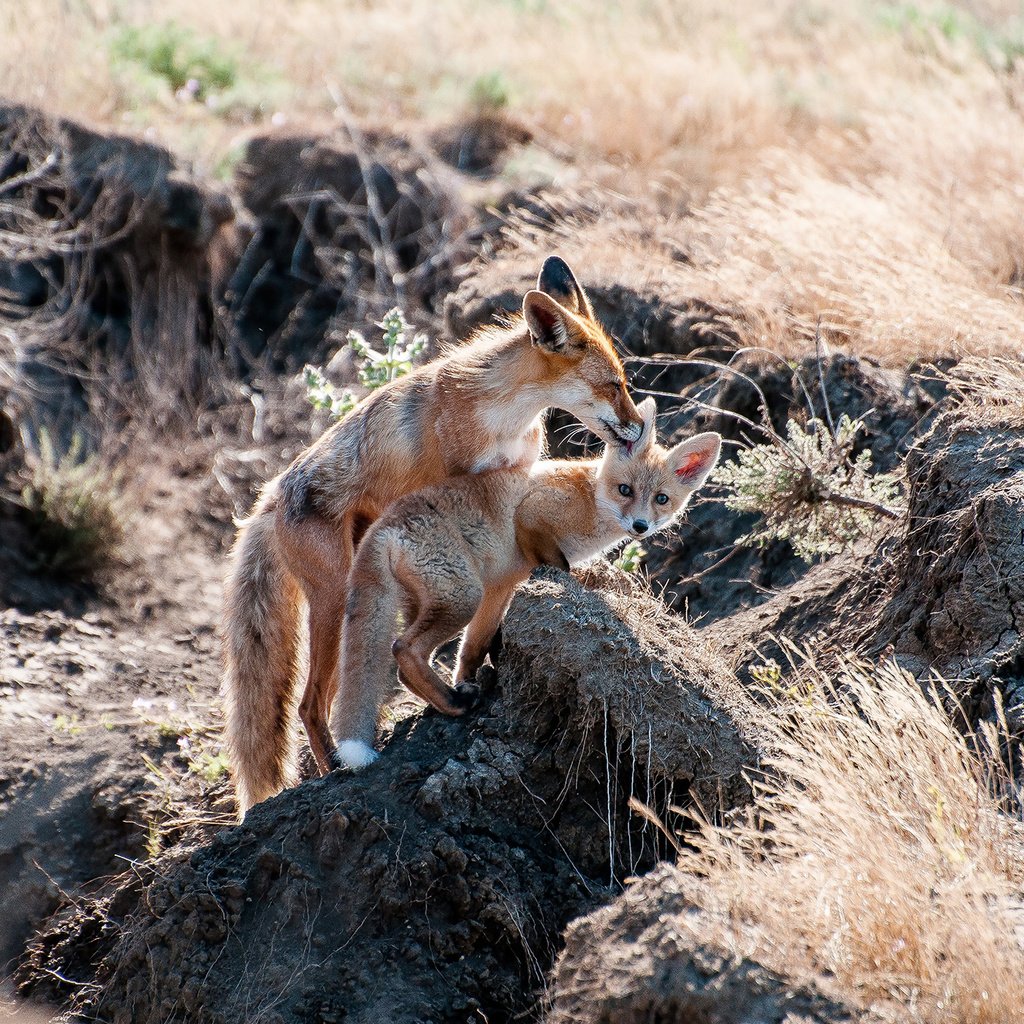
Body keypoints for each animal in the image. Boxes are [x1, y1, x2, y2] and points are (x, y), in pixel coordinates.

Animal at [225, 256, 643, 815]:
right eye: (614, 385)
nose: (639, 429)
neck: (505, 416)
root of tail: (268, 498)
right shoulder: (457, 485)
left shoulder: (513, 476)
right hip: (335, 599)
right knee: (309, 704)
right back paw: (333, 765)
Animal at [333, 393, 720, 770]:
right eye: (625, 490)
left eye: (661, 499)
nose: (640, 526)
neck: (590, 499)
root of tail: (382, 525)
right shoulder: (533, 515)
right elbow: (559, 565)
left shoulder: (500, 586)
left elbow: (472, 647)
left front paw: (472, 676)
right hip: (462, 597)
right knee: (404, 649)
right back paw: (454, 704)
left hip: (440, 598)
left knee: (404, 667)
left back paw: (447, 698)